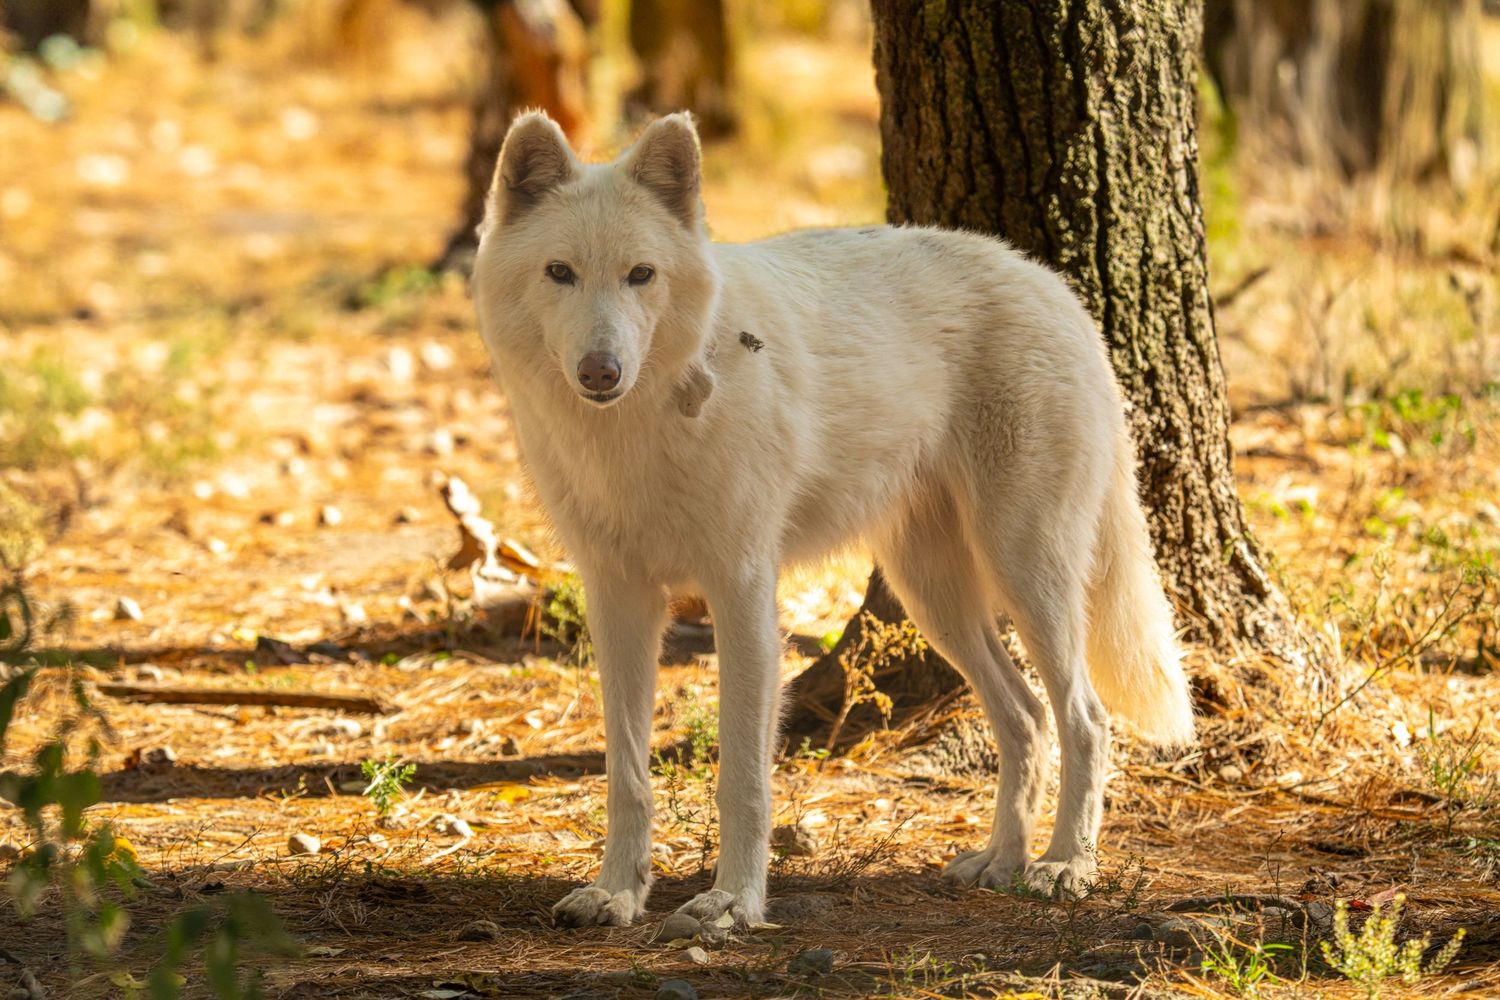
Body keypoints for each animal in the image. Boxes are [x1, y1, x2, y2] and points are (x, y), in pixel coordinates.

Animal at [470, 111, 1194, 928]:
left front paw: (733, 903)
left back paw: (1066, 865)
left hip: (1026, 574)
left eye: (640, 275)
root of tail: (1056, 288)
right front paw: (618, 892)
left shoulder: (743, 594)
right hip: (936, 599)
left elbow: (742, 776)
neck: (635, 429)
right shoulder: (620, 598)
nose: (602, 372)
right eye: (559, 272)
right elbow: (627, 772)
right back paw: (1002, 862)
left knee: (1087, 719)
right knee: (1028, 718)